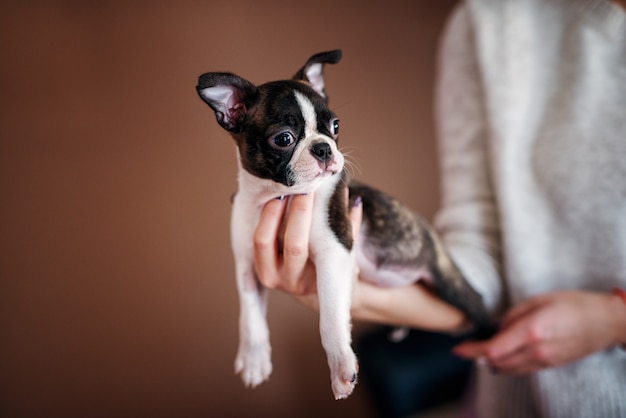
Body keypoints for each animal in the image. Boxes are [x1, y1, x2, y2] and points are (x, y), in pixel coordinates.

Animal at [195, 49, 492, 398]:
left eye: (335, 126)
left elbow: (330, 318)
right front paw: (254, 359)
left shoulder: (333, 253)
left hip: (447, 279)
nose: (324, 147)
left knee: (477, 303)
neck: (278, 196)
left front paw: (340, 367)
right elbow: (250, 313)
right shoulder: (247, 263)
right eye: (283, 138)